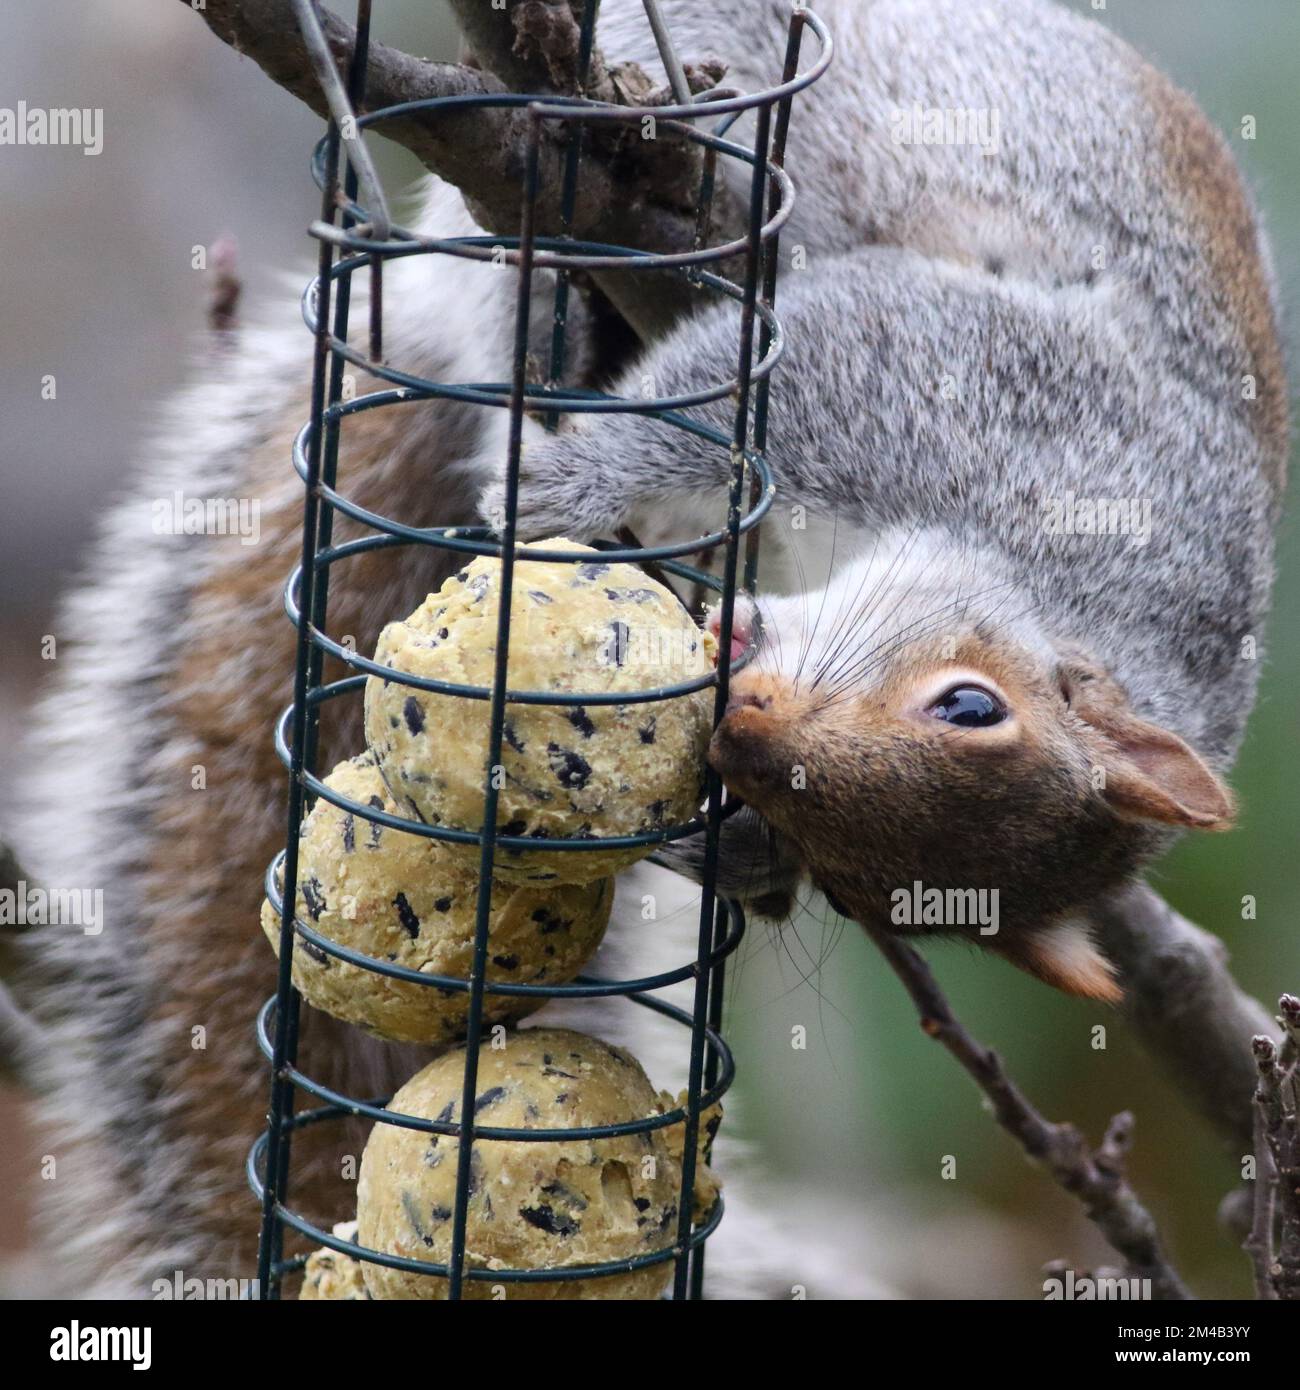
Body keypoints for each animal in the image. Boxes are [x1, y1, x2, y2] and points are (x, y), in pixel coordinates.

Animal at [8, 0, 1287, 1297]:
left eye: (849, 886)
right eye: (969, 704)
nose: (749, 737)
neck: (1083, 599)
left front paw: (728, 852)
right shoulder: (975, 388)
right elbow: (741, 383)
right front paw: (570, 477)